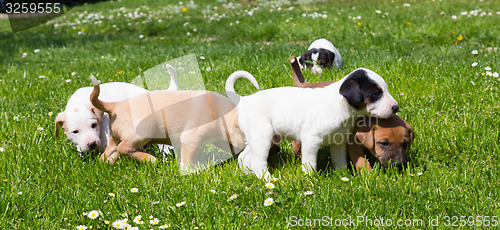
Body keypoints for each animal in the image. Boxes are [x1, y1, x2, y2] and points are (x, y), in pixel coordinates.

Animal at [88, 72, 252, 169]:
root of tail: (116, 105)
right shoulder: (191, 138)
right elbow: (188, 159)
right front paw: (191, 172)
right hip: (142, 133)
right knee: (123, 148)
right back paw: (150, 159)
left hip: (115, 138)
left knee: (107, 154)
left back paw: (107, 164)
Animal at [227, 65, 398, 179]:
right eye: (376, 93)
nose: (396, 107)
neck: (339, 106)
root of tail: (244, 100)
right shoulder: (311, 141)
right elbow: (310, 164)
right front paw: (310, 180)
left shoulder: (338, 142)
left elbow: (339, 161)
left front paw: (343, 177)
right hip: (263, 137)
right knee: (258, 162)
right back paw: (269, 180)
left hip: (258, 139)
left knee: (244, 157)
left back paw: (248, 174)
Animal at [282, 56, 414, 171]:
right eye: (377, 93)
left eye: (405, 144)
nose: (396, 107)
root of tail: (307, 85)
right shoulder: (351, 144)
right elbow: (361, 161)